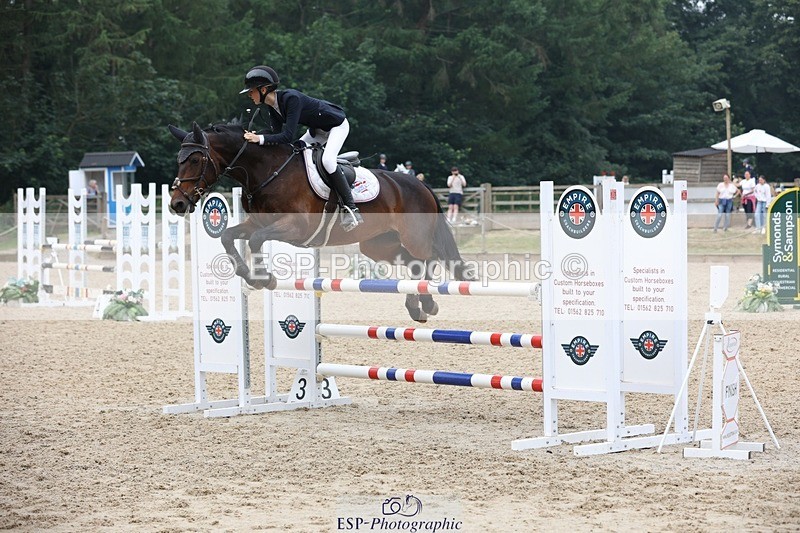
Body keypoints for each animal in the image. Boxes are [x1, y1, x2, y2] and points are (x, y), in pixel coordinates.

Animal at [168, 122, 472, 322]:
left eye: (195, 159)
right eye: (179, 159)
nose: (177, 204)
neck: (268, 171)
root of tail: (419, 184)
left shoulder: (295, 227)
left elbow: (255, 240)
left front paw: (264, 278)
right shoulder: (257, 223)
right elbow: (228, 236)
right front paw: (249, 275)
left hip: (413, 237)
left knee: (426, 259)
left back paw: (427, 303)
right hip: (377, 244)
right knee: (412, 263)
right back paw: (415, 305)